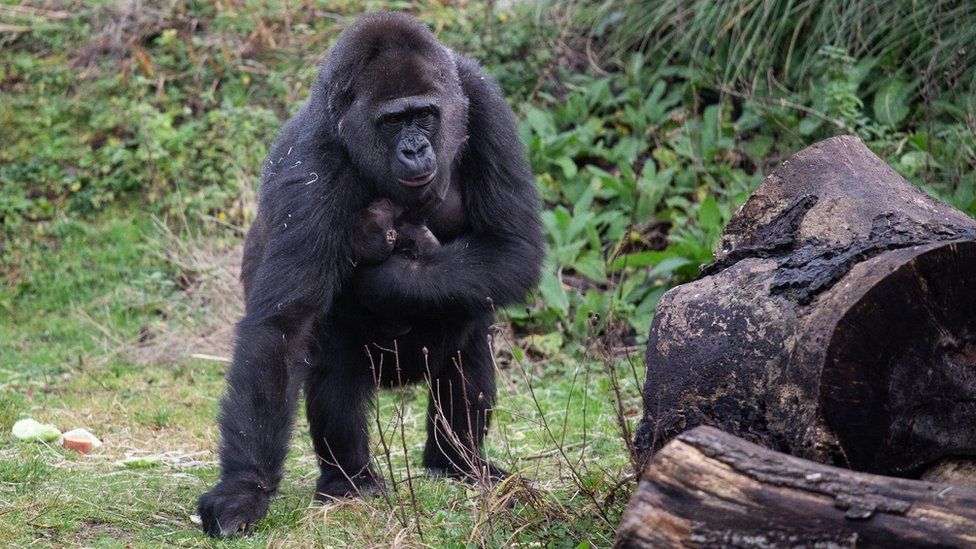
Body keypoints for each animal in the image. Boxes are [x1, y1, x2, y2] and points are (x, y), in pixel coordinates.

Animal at [196, 11, 548, 536]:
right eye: (393, 121)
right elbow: (282, 328)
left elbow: (511, 245)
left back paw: (457, 462)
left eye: (424, 115)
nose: (416, 149)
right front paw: (243, 489)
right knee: (334, 372)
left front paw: (384, 279)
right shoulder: (312, 159)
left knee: (469, 341)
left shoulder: (483, 100)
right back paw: (350, 480)